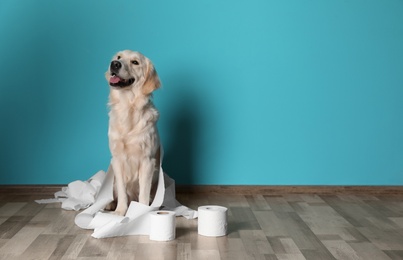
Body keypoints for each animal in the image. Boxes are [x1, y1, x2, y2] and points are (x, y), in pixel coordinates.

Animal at [105, 50, 162, 215]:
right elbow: (122, 190)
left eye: (135, 62)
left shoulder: (147, 161)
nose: (114, 64)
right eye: (118, 57)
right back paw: (110, 204)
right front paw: (120, 211)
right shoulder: (117, 159)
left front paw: (141, 212)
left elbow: (144, 192)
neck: (128, 106)